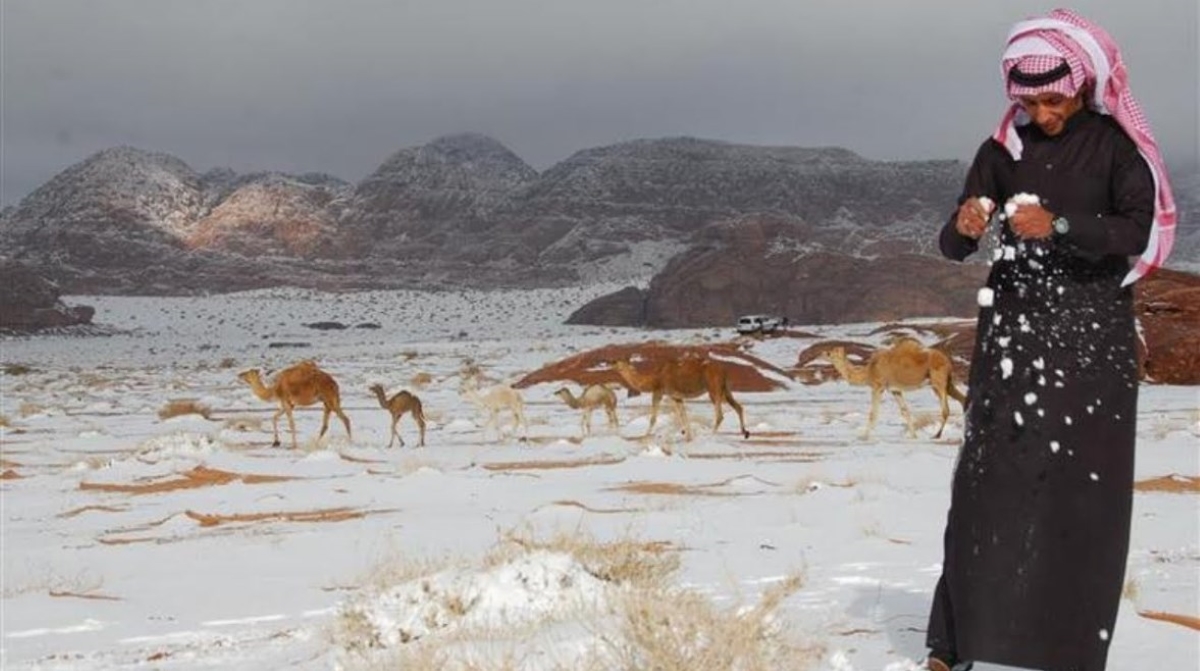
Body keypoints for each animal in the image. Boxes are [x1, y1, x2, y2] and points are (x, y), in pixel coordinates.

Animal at [609, 355, 748, 444]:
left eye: (617, 362)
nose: (610, 364)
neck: (653, 379)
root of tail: (724, 370)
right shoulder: (676, 396)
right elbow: (683, 415)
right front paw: (687, 436)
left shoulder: (659, 392)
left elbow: (653, 418)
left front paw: (644, 437)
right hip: (725, 388)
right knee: (738, 406)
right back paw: (745, 432)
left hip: (713, 388)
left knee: (720, 415)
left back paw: (709, 436)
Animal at [820, 340, 969, 441]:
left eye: (830, 353)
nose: (823, 353)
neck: (868, 371)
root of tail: (947, 361)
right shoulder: (895, 390)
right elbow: (905, 411)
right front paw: (913, 435)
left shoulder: (878, 386)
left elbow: (873, 413)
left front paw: (863, 436)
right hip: (948, 383)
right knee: (962, 400)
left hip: (938, 380)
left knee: (946, 409)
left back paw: (936, 435)